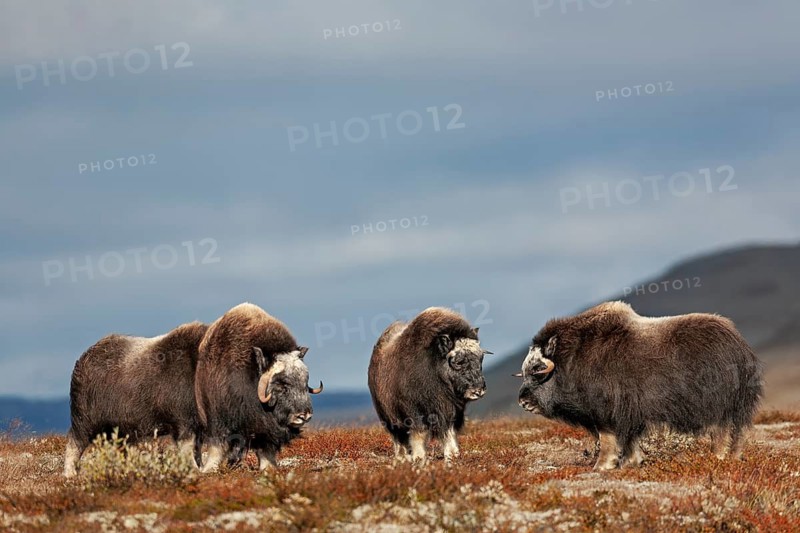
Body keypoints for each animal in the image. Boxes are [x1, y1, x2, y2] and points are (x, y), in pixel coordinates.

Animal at [64, 321, 208, 478]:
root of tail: (82, 360)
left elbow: (197, 447)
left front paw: (201, 467)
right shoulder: (183, 419)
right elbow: (188, 445)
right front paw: (195, 469)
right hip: (86, 418)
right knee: (76, 441)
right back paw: (70, 474)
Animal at [368, 307, 492, 464]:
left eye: (481, 358)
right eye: (458, 362)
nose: (479, 390)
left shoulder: (450, 411)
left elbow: (449, 433)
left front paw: (453, 455)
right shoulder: (414, 411)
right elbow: (419, 433)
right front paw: (419, 457)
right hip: (389, 417)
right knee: (399, 438)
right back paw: (402, 457)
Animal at [516, 301, 763, 470]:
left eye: (537, 370)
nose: (522, 402)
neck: (572, 357)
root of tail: (739, 347)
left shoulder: (607, 412)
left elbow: (608, 439)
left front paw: (602, 466)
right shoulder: (629, 414)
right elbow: (629, 440)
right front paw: (631, 462)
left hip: (716, 405)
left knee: (720, 431)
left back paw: (717, 458)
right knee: (737, 434)